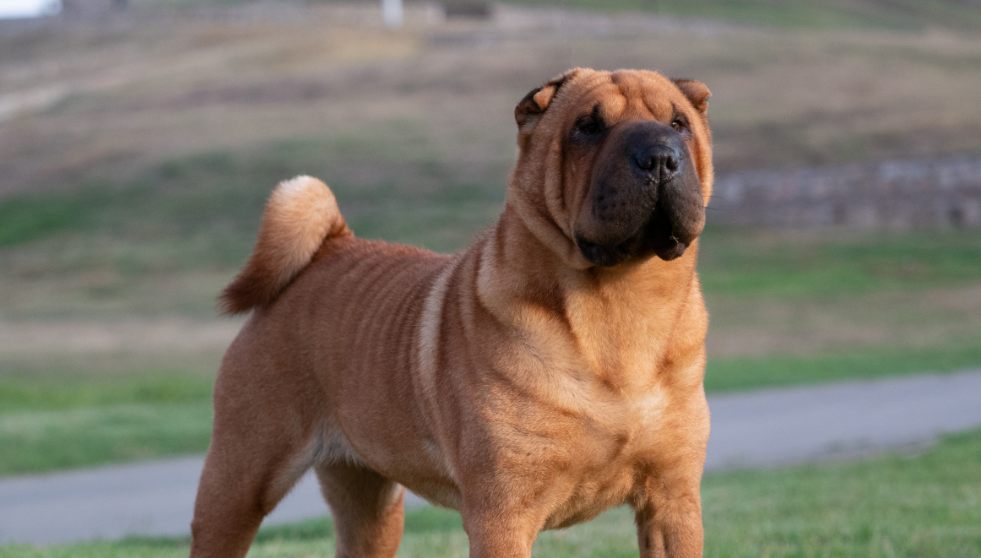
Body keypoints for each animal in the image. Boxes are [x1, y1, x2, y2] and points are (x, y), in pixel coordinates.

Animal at [189, 69, 712, 558]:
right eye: (588, 127)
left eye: (678, 124)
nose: (659, 155)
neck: (622, 304)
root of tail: (328, 248)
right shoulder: (502, 514)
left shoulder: (672, 500)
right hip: (238, 483)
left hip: (371, 506)